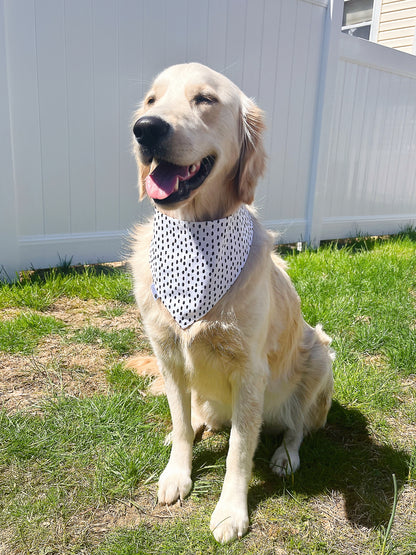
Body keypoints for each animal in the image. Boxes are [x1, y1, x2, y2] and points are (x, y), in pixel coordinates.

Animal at [128, 62, 334, 544]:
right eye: (150, 100)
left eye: (204, 99)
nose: (145, 128)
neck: (194, 236)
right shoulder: (167, 354)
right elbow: (181, 422)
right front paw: (177, 472)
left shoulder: (250, 372)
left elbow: (239, 449)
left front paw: (230, 511)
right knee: (196, 414)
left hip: (320, 354)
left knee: (297, 428)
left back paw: (284, 455)